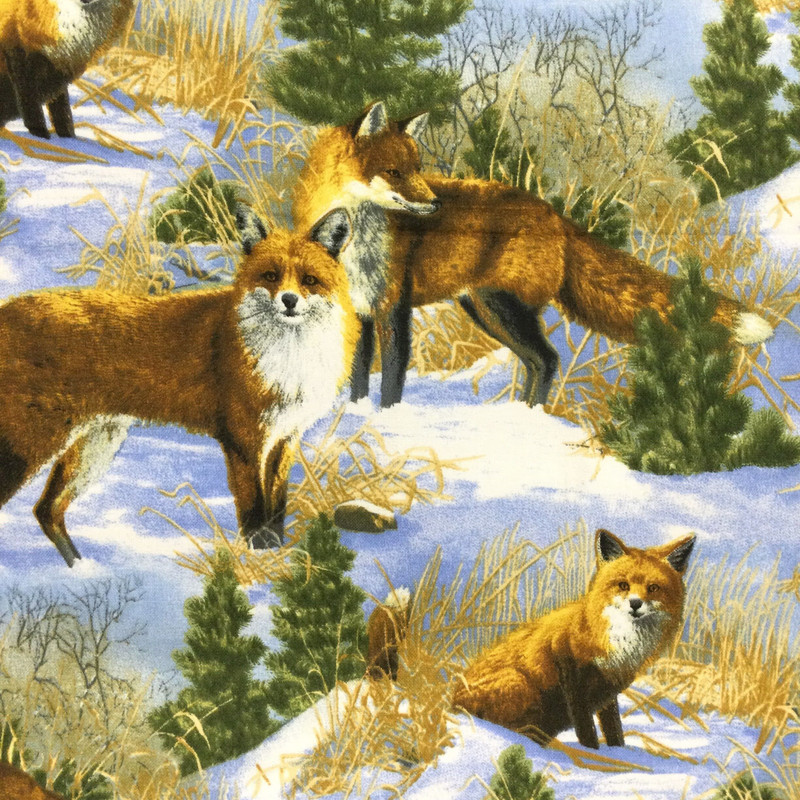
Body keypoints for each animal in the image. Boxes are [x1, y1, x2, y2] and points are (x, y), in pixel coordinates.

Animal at [0, 0, 134, 138]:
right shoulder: (18, 55)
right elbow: (30, 105)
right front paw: (41, 135)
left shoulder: (60, 71)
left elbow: (62, 112)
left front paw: (68, 138)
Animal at [0, 208, 357, 566]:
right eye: (271, 276)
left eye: (309, 279)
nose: (289, 300)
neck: (286, 358)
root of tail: (6, 308)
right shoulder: (243, 438)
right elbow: (255, 511)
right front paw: (257, 557)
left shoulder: (285, 437)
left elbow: (277, 507)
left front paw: (276, 554)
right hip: (32, 443)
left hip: (95, 447)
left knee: (46, 510)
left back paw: (81, 568)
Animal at [292, 102, 773, 408]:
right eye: (394, 172)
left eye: (417, 168)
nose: (434, 205)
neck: (356, 242)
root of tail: (553, 213)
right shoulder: (359, 309)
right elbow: (358, 378)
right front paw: (353, 418)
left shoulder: (393, 305)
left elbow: (391, 379)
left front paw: (386, 419)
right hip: (486, 309)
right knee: (535, 363)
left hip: (502, 306)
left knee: (548, 360)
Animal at [452, 529, 695, 749]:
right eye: (623, 585)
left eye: (653, 588)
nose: (635, 604)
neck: (619, 643)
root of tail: (450, 701)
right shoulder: (571, 676)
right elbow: (586, 730)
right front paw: (593, 754)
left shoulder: (608, 689)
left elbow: (613, 729)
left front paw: (618, 753)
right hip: (517, 682)